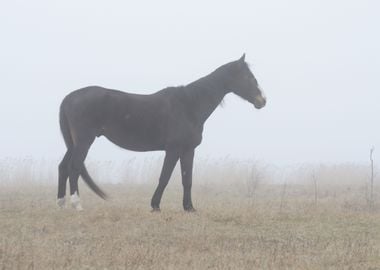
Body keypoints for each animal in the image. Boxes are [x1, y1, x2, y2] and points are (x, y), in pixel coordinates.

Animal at [56, 54, 266, 211]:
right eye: (248, 77)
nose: (262, 100)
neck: (189, 105)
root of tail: (69, 98)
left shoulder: (188, 150)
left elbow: (187, 179)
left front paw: (189, 207)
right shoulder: (173, 149)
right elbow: (164, 177)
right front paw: (155, 205)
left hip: (73, 143)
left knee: (63, 167)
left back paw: (61, 203)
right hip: (84, 141)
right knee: (74, 167)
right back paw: (77, 205)